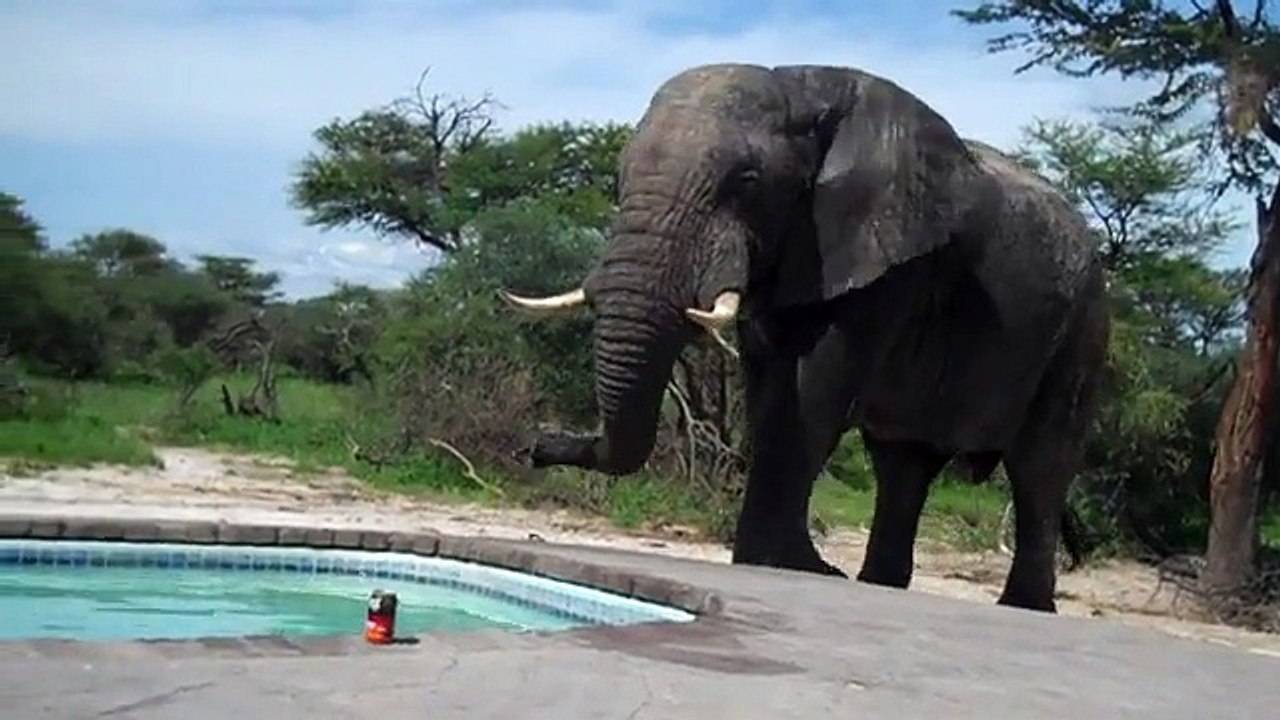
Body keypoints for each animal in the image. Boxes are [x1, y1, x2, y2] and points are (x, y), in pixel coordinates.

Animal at [499, 63, 1110, 613]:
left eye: (746, 182)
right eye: (620, 177)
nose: (535, 446)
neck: (799, 87)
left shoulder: (888, 264)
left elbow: (815, 390)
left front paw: (791, 566)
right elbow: (770, 393)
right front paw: (777, 562)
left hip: (1082, 329)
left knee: (1039, 467)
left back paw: (1023, 606)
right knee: (902, 463)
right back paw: (879, 584)